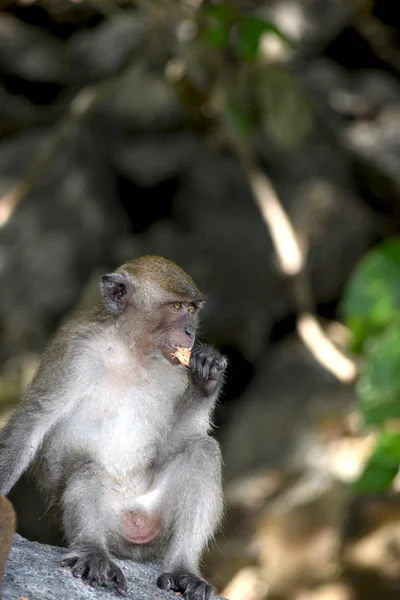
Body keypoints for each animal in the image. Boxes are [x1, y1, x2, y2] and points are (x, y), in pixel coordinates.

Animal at [0, 255, 227, 596]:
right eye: (175, 307)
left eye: (191, 310)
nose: (189, 332)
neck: (131, 349)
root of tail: (134, 530)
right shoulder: (76, 350)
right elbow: (32, 422)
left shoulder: (176, 370)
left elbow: (182, 439)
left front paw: (207, 377)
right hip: (107, 525)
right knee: (85, 465)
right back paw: (94, 551)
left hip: (155, 522)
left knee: (202, 450)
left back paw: (182, 568)